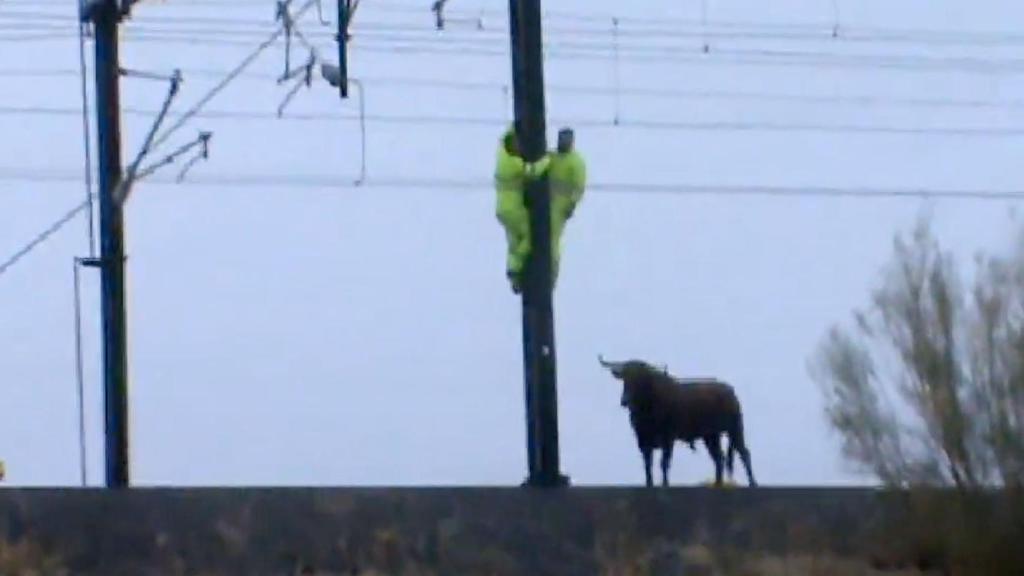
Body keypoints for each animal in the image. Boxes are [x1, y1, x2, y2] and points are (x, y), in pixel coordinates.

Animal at [598, 354, 757, 483]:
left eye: (640, 380)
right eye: (625, 378)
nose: (624, 401)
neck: (647, 410)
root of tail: (730, 391)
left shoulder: (668, 438)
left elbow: (664, 463)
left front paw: (665, 484)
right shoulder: (643, 440)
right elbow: (648, 465)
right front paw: (649, 484)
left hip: (735, 428)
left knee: (744, 453)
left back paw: (752, 483)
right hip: (711, 435)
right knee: (719, 458)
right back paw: (718, 484)